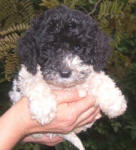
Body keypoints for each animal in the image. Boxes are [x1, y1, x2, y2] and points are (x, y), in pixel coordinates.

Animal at [9, 5, 127, 150]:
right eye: (49, 48)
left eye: (78, 47)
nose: (65, 73)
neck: (66, 87)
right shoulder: (27, 73)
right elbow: (35, 81)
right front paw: (43, 108)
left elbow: (99, 78)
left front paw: (114, 102)